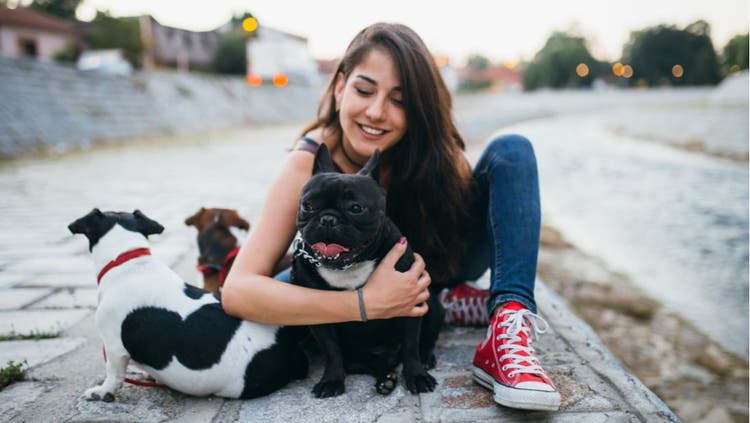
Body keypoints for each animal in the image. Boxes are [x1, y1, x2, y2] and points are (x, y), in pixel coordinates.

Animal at [292, 145, 446, 398]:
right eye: (308, 206)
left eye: (356, 208)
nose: (327, 218)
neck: (349, 265)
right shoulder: (317, 318)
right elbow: (331, 350)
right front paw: (331, 380)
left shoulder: (411, 301)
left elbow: (411, 345)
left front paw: (417, 376)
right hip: (358, 356)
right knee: (370, 363)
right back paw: (385, 378)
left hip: (431, 304)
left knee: (423, 340)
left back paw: (424, 358)